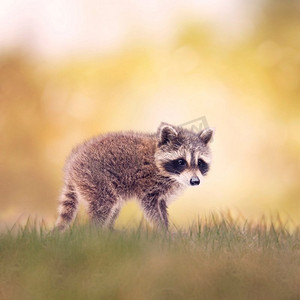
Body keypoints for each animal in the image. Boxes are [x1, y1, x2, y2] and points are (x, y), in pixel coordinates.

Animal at [54, 123, 213, 231]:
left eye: (200, 162)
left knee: (113, 206)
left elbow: (162, 207)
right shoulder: (148, 184)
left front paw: (166, 228)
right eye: (181, 162)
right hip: (95, 177)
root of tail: (72, 164)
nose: (195, 181)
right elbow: (151, 208)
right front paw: (162, 230)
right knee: (104, 204)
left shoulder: (162, 193)